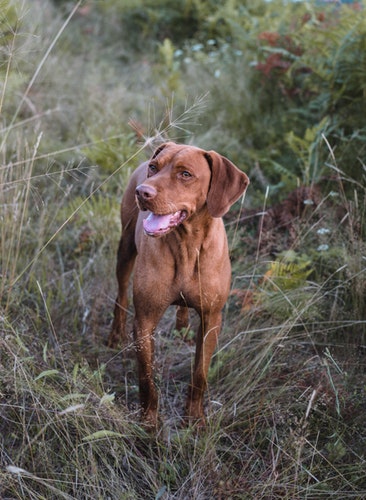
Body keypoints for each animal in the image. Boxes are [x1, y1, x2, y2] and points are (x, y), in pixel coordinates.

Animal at [106, 141, 249, 426]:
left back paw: (182, 327)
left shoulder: (211, 319)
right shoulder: (145, 321)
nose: (143, 192)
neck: (186, 244)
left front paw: (194, 417)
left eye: (185, 174)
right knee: (121, 293)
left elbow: (200, 374)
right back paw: (116, 332)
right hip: (125, 249)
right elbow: (146, 378)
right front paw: (149, 422)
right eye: (154, 168)